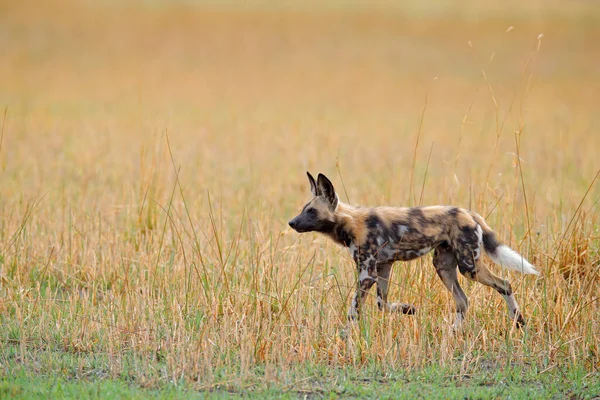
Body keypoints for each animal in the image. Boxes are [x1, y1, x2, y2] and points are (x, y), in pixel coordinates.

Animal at [288, 172, 540, 328]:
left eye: (311, 211)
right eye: (303, 209)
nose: (291, 222)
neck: (350, 222)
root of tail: (468, 213)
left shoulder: (367, 274)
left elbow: (353, 311)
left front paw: (345, 336)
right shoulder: (383, 268)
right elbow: (382, 304)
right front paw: (407, 309)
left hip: (469, 267)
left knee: (504, 284)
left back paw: (518, 322)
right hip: (444, 267)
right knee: (463, 301)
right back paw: (454, 332)